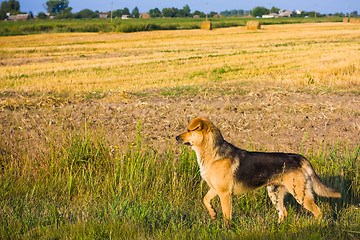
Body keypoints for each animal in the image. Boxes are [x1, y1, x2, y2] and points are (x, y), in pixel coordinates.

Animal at [176, 117, 342, 226]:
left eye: (189, 130)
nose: (176, 137)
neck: (212, 153)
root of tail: (298, 158)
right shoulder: (216, 189)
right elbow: (205, 200)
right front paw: (212, 213)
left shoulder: (224, 193)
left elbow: (227, 215)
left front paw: (226, 229)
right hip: (274, 193)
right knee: (283, 213)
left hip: (300, 195)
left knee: (318, 212)